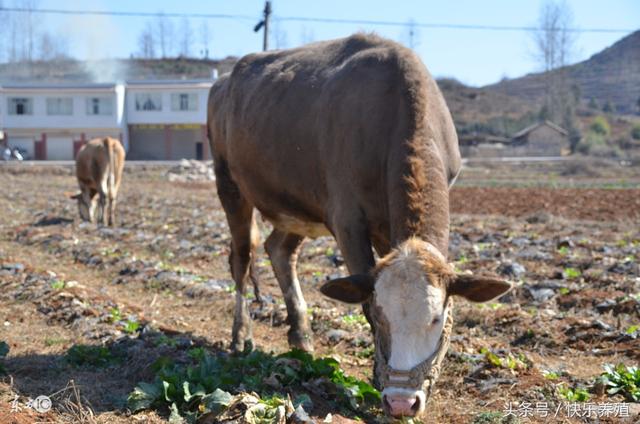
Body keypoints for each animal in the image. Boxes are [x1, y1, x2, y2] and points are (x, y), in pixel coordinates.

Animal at [208, 34, 512, 418]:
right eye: (382, 317)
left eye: (436, 319)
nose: (402, 402)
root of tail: (223, 81)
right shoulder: (347, 219)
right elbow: (363, 294)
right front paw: (376, 381)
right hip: (229, 183)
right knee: (242, 258)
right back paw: (241, 334)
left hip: (297, 204)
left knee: (280, 250)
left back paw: (301, 336)